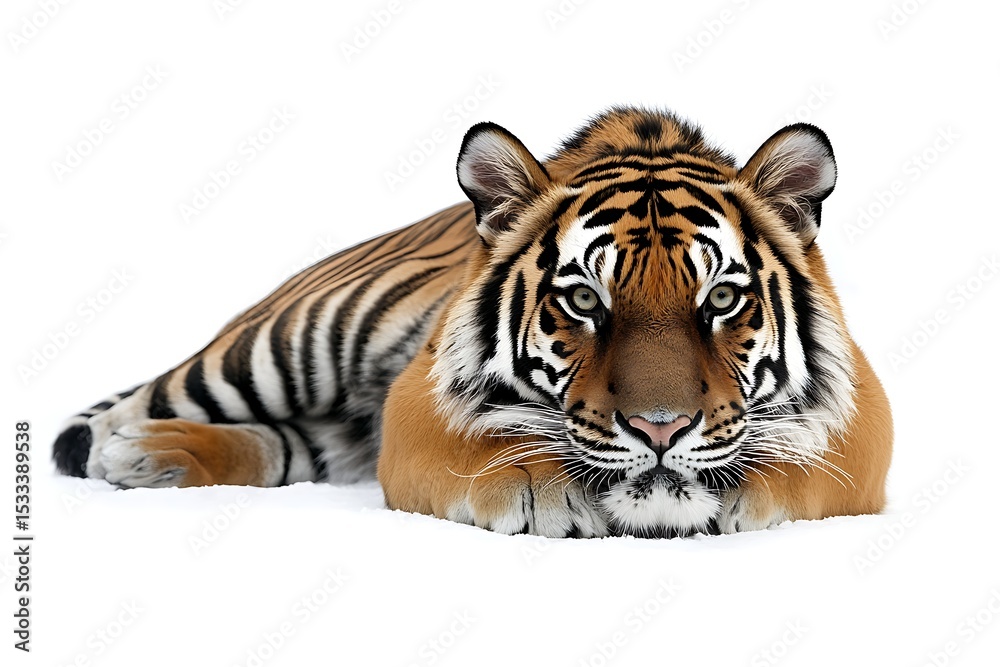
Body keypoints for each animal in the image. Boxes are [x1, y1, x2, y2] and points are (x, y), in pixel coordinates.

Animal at [53, 106, 893, 538]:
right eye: (584, 301)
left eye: (720, 300)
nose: (660, 428)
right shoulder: (414, 401)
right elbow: (476, 448)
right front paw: (538, 486)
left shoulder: (865, 414)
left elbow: (812, 459)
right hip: (284, 344)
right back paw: (139, 448)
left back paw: (156, 457)